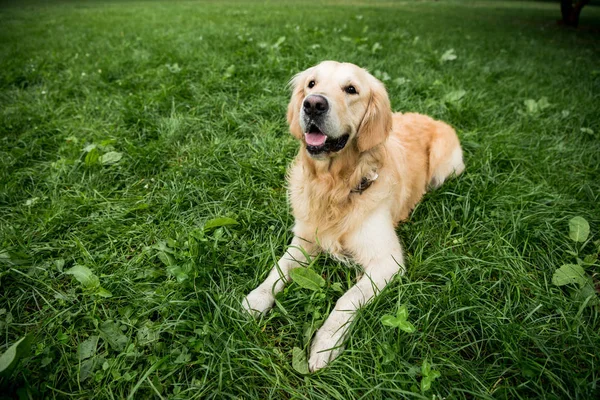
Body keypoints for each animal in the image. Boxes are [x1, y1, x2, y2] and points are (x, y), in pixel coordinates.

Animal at [243, 60, 464, 372]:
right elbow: (279, 267)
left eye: (351, 89)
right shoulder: (305, 239)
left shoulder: (387, 262)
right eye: (311, 84)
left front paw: (325, 345)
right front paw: (257, 298)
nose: (313, 104)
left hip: (447, 168)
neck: (336, 186)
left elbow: (346, 299)